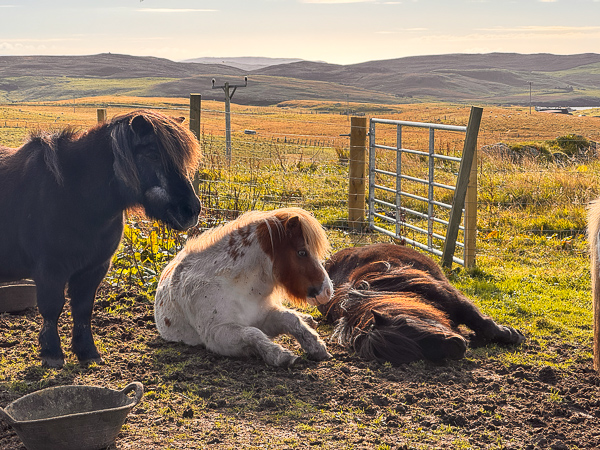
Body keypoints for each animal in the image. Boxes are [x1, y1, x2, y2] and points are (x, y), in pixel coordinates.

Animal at [0, 109, 203, 366]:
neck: (72, 194)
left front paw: (87, 352)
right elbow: (51, 308)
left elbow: (83, 309)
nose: (191, 210)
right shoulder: (49, 270)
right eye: (153, 154)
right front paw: (52, 353)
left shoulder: (94, 268)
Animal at [154, 209, 332, 368]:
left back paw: (308, 319)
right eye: (302, 252)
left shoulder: (264, 317)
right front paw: (281, 355)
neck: (236, 285)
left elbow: (291, 319)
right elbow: (253, 333)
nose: (327, 291)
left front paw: (317, 347)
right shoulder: (217, 334)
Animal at [318, 243, 524, 366]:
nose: (457, 346)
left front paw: (510, 335)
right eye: (416, 355)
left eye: (407, 325)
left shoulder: (453, 298)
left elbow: (482, 322)